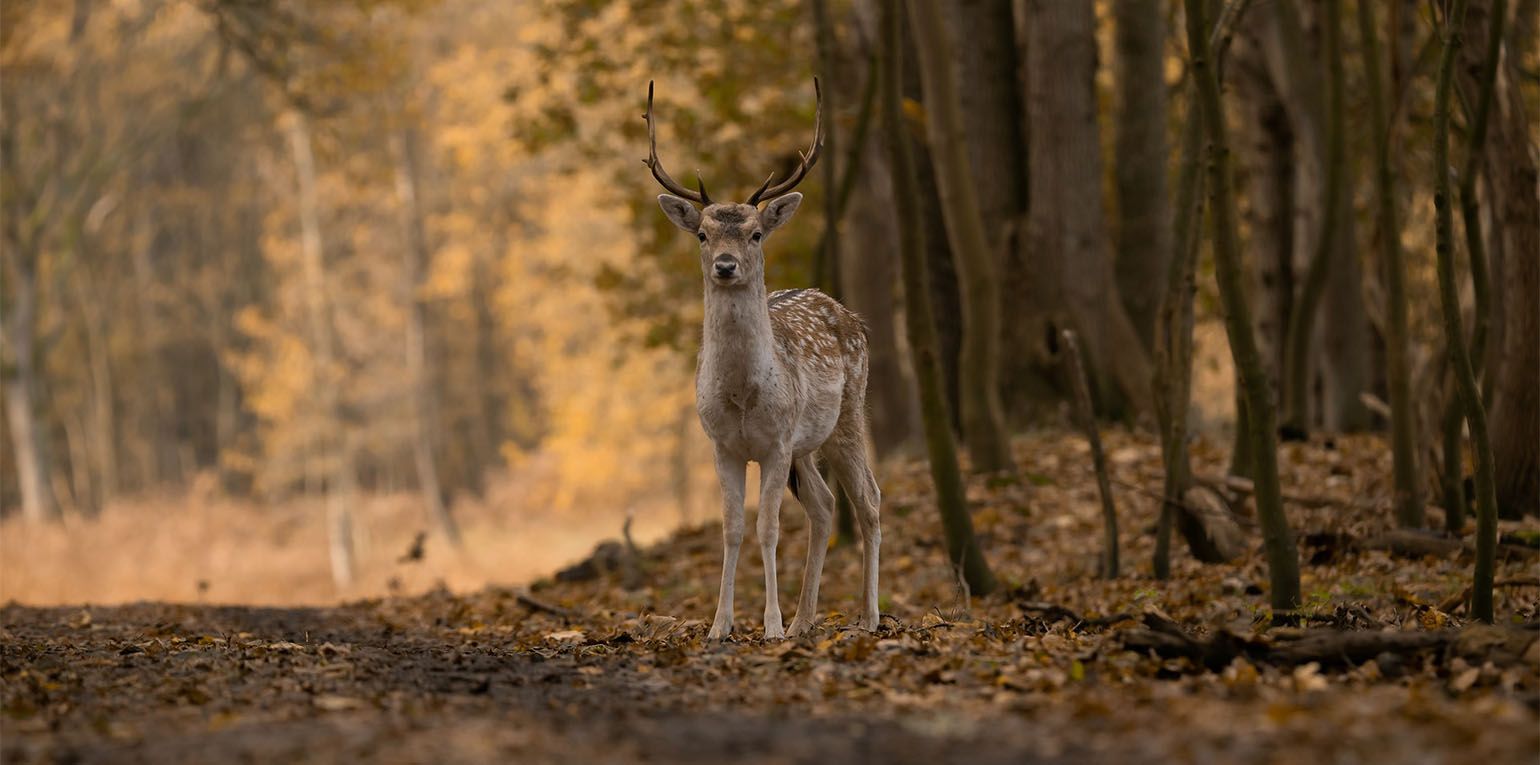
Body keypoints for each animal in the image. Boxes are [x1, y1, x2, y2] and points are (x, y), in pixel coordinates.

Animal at [640, 78, 880, 637]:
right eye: (703, 234)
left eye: (755, 233)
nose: (726, 265)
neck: (743, 396)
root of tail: (849, 313)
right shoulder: (722, 444)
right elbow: (732, 529)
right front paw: (719, 626)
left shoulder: (775, 442)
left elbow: (767, 527)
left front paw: (768, 625)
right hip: (806, 445)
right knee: (825, 505)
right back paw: (804, 622)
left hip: (848, 415)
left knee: (869, 501)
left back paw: (868, 616)